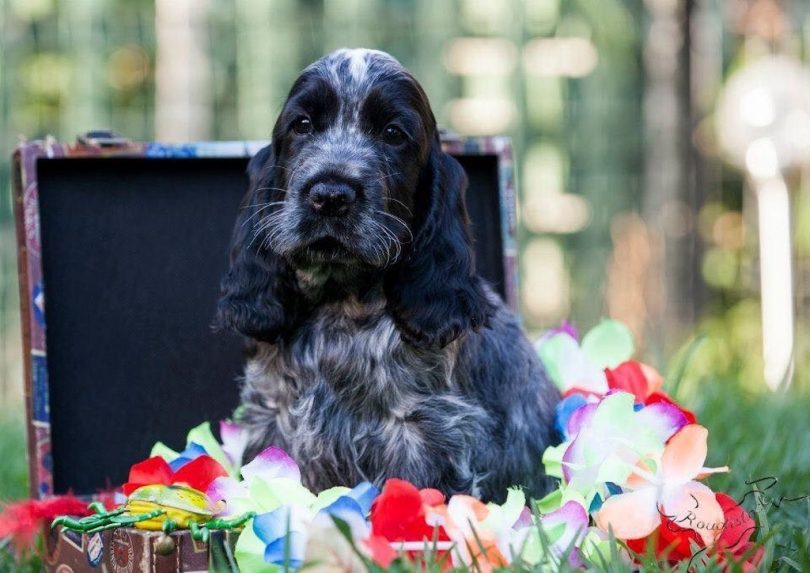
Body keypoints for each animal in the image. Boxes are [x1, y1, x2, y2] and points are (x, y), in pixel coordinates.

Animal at [215, 49, 560, 500]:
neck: (341, 303)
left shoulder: (426, 431)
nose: (330, 196)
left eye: (393, 133)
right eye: (302, 125)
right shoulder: (272, 418)